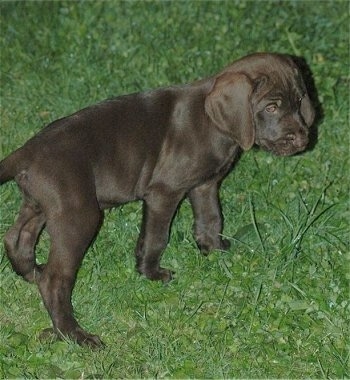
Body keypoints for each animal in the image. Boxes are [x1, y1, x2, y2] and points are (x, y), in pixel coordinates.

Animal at [0, 53, 316, 348]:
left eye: (299, 100)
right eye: (271, 107)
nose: (302, 140)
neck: (214, 124)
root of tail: (26, 152)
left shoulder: (204, 185)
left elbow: (211, 219)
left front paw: (214, 250)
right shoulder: (164, 192)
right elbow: (156, 238)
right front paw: (150, 273)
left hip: (42, 204)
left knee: (16, 237)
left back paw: (31, 273)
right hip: (78, 215)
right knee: (55, 280)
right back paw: (74, 334)